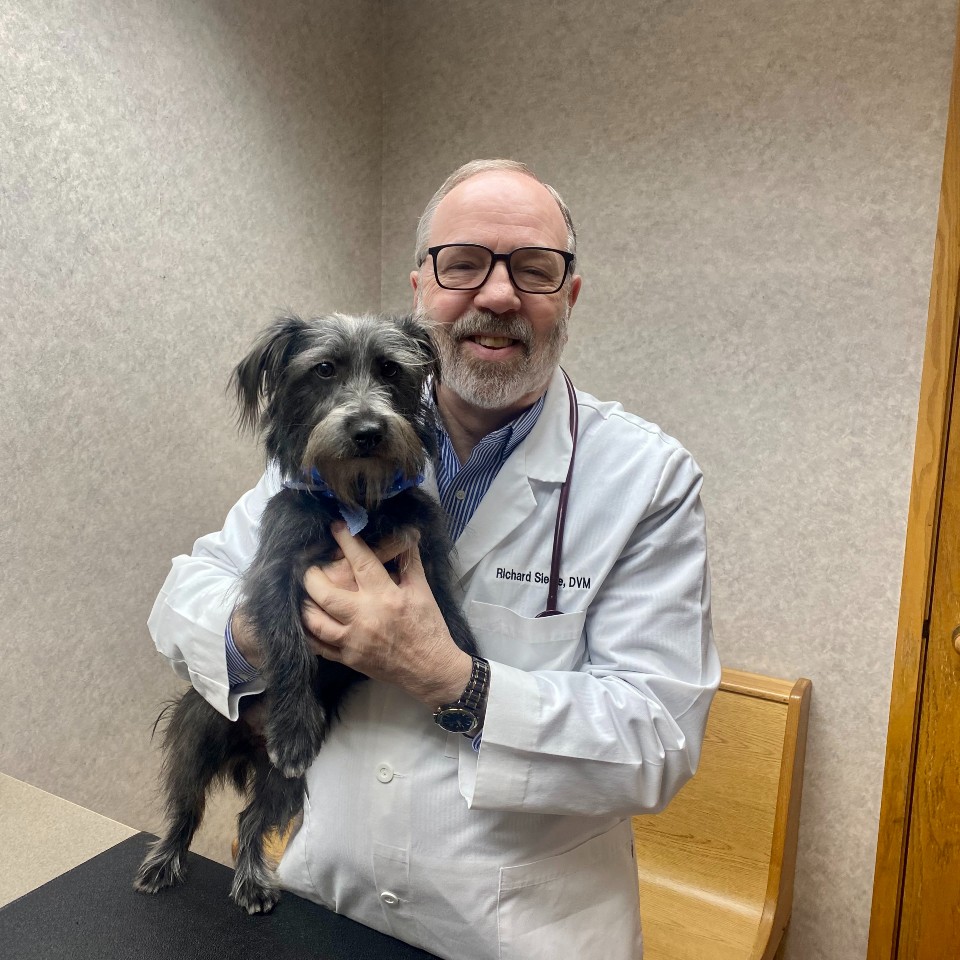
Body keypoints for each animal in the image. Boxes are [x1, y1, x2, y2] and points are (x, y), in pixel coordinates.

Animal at [133, 314, 478, 916]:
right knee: (186, 806)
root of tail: (250, 748)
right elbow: (291, 647)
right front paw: (294, 724)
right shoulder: (277, 571)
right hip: (198, 733)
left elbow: (449, 620)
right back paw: (164, 859)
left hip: (282, 783)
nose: (367, 430)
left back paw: (251, 878)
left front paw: (469, 670)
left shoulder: (428, 553)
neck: (355, 494)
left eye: (391, 370)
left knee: (250, 820)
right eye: (324, 369)